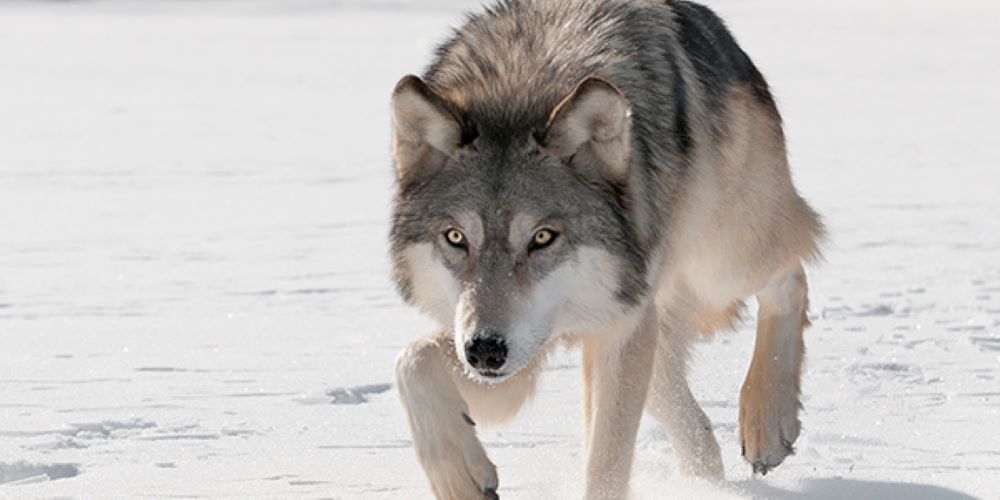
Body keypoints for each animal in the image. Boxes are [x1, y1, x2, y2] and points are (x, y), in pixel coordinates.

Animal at [388, 0, 823, 498]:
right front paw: (459, 476)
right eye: (456, 238)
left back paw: (766, 423)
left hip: (720, 263)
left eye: (542, 237)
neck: (521, 86)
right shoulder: (517, 350)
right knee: (680, 404)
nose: (485, 350)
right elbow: (412, 361)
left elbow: (607, 461)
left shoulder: (615, 325)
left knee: (791, 274)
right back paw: (707, 479)